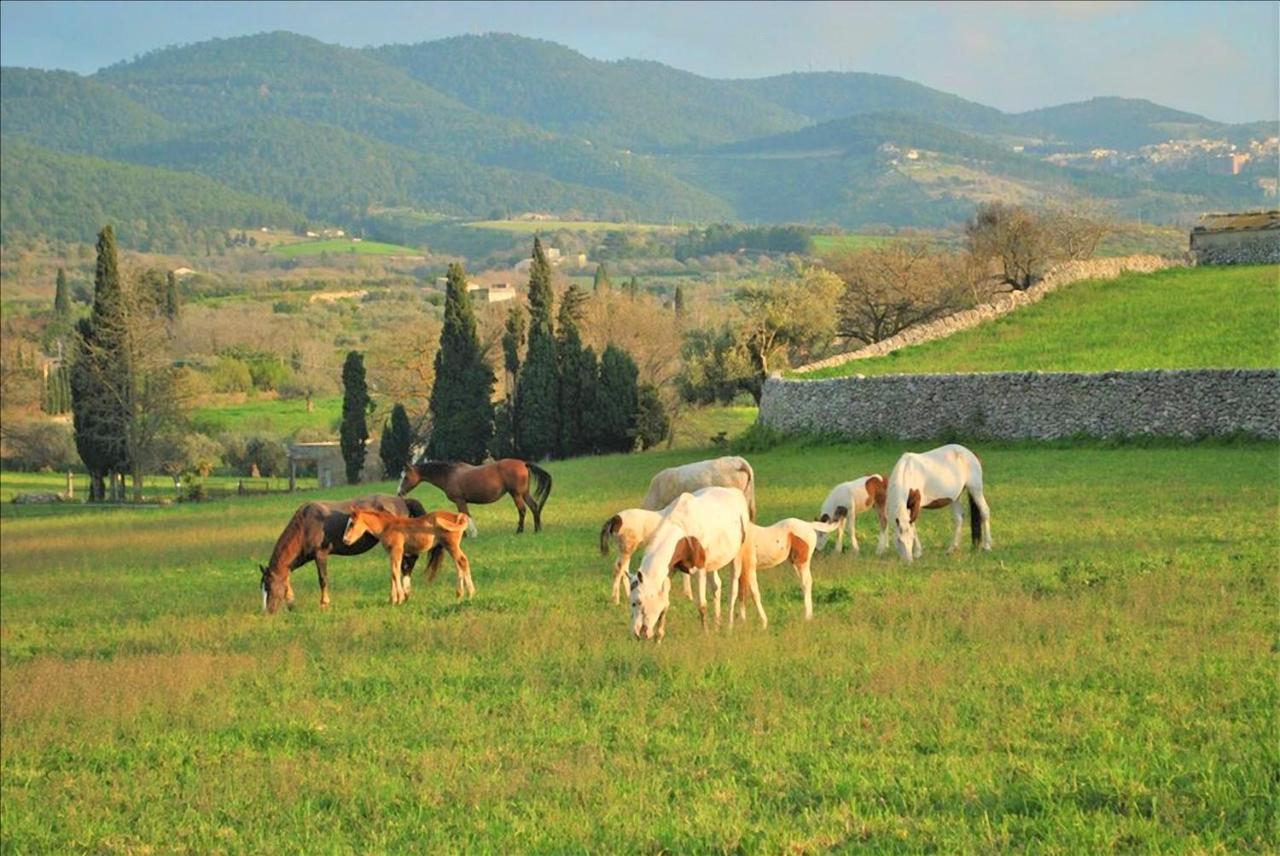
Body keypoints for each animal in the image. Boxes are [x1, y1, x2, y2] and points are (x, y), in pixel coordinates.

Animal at [258, 493, 424, 614]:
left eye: (269, 587)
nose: (267, 612)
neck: (305, 525)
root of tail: (402, 501)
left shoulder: (321, 554)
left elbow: (323, 579)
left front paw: (324, 604)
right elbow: (287, 578)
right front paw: (291, 603)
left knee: (404, 566)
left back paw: (400, 596)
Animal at [343, 506, 473, 601]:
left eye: (352, 524)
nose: (345, 540)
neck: (387, 526)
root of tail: (458, 516)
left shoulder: (397, 550)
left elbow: (395, 573)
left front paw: (399, 598)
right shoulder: (392, 553)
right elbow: (393, 573)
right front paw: (392, 599)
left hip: (451, 545)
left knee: (463, 561)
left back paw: (470, 593)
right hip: (449, 546)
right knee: (459, 564)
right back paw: (459, 594)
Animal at [396, 458, 552, 529]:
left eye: (406, 477)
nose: (399, 493)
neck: (449, 475)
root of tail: (523, 463)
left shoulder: (460, 500)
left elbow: (465, 516)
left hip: (516, 494)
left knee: (522, 510)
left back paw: (519, 530)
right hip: (524, 493)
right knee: (534, 507)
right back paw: (537, 529)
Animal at [629, 483, 757, 637]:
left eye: (639, 602)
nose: (637, 633)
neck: (683, 532)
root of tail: (735, 492)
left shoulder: (700, 569)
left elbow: (701, 604)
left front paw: (706, 634)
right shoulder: (670, 571)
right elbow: (665, 603)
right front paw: (659, 637)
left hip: (737, 556)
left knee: (734, 589)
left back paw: (729, 627)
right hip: (712, 564)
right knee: (716, 586)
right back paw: (717, 625)